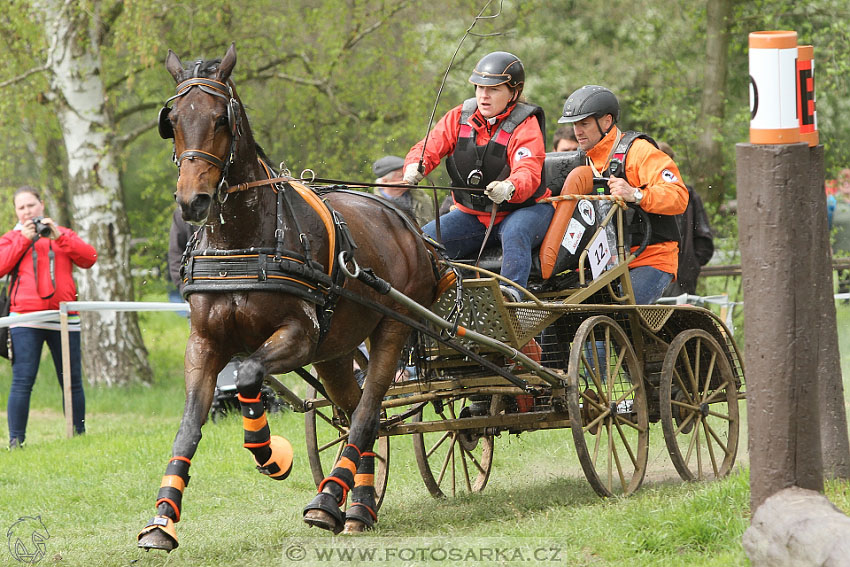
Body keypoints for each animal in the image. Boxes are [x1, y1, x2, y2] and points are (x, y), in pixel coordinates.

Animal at [137, 43, 440, 552]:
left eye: (220, 119)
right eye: (172, 119)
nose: (193, 201)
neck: (243, 243)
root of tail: (404, 221)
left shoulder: (298, 335)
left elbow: (248, 376)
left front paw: (272, 455)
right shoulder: (204, 343)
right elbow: (188, 426)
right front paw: (163, 520)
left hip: (393, 325)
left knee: (367, 411)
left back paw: (329, 500)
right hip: (335, 351)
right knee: (356, 411)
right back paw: (357, 505)